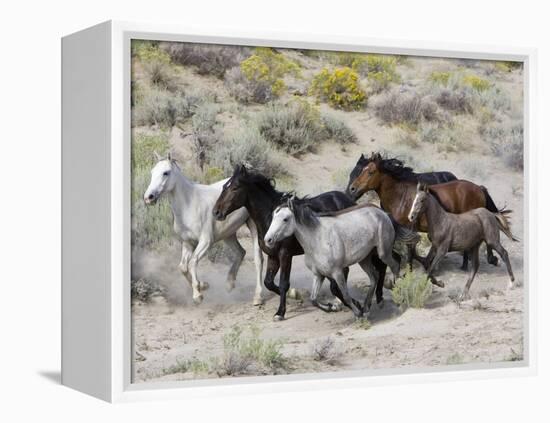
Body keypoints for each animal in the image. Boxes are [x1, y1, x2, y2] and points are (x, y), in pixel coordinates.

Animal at [144, 154, 266, 306]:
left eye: (166, 172)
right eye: (152, 172)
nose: (148, 197)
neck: (189, 205)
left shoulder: (206, 241)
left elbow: (192, 262)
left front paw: (198, 295)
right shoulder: (187, 242)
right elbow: (183, 267)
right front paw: (203, 286)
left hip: (253, 227)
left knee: (258, 259)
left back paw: (258, 297)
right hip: (228, 233)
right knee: (240, 252)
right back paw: (229, 284)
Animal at [213, 166, 390, 322]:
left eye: (235, 188)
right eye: (224, 187)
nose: (216, 212)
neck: (269, 219)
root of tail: (348, 199)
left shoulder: (285, 255)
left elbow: (283, 283)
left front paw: (281, 312)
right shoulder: (273, 256)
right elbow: (269, 282)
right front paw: (296, 295)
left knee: (375, 267)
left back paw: (371, 300)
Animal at [350, 152, 508, 274]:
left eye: (370, 172)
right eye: (361, 170)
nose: (352, 189)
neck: (400, 196)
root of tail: (479, 188)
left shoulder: (409, 229)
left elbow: (411, 252)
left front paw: (412, 270)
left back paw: (488, 260)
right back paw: (466, 265)